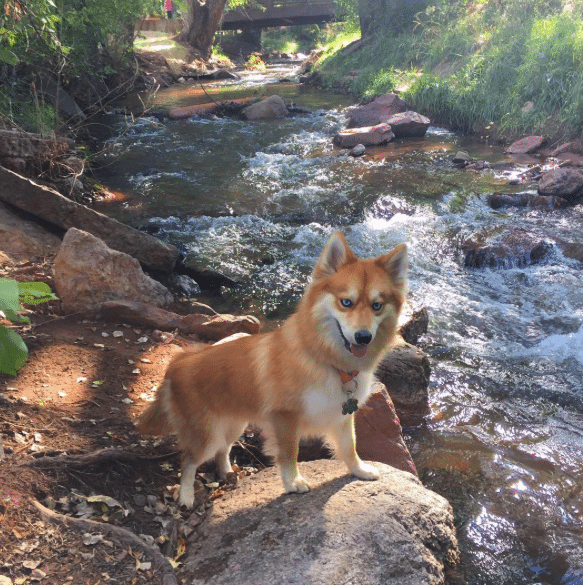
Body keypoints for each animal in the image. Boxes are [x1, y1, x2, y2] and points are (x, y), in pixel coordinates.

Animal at [139, 230, 408, 504]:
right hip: (207, 434)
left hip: (234, 424)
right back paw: (186, 496)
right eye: (346, 302)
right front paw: (293, 482)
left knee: (223, 449)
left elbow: (350, 447)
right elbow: (290, 453)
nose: (363, 337)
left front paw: (359, 470)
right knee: (189, 461)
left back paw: (226, 471)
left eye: (377, 306)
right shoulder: (285, 418)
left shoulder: (342, 414)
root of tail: (179, 362)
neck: (323, 357)